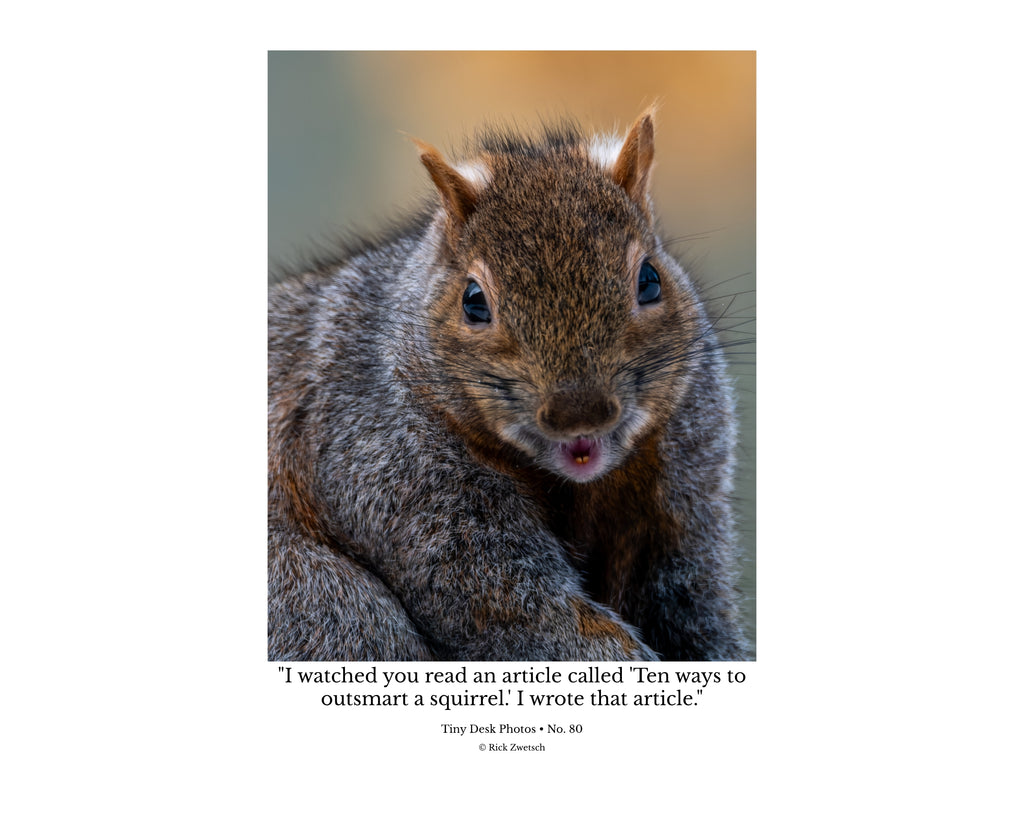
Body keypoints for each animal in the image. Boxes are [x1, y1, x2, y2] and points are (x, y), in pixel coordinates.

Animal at [268, 109, 749, 662]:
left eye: (650, 279)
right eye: (474, 300)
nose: (579, 412)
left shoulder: (681, 497)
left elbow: (692, 613)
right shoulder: (387, 469)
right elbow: (521, 615)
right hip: (327, 607)